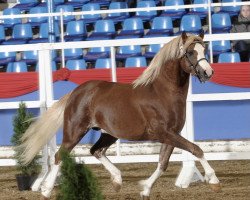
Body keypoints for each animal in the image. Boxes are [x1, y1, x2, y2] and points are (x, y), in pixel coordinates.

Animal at [18, 32, 220, 199]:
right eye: (191, 52)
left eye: (204, 49)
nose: (208, 72)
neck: (161, 93)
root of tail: (77, 91)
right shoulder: (164, 133)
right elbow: (196, 149)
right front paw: (213, 180)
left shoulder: (171, 135)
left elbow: (162, 164)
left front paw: (145, 189)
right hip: (75, 131)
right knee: (60, 156)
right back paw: (46, 190)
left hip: (109, 133)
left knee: (96, 151)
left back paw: (117, 180)